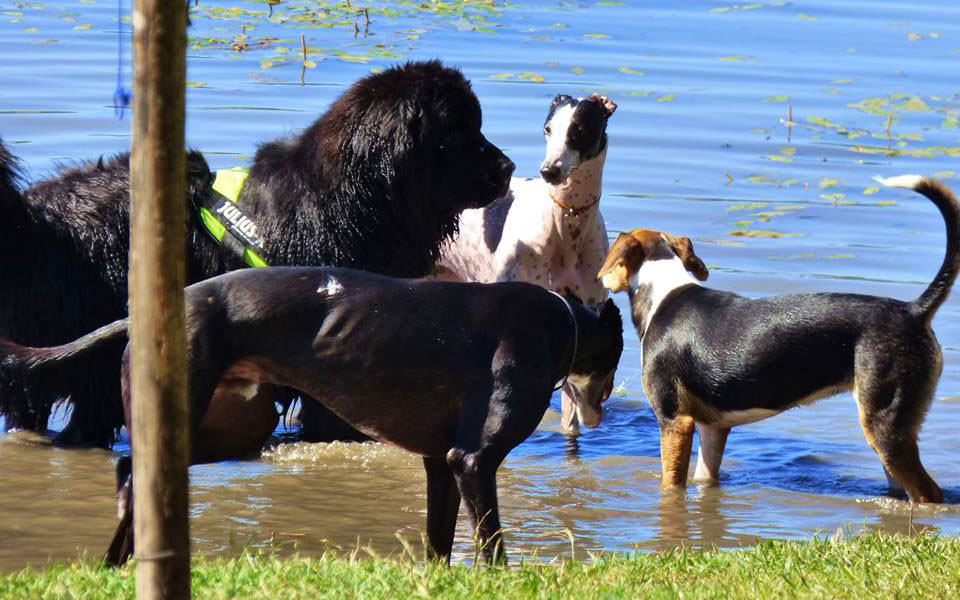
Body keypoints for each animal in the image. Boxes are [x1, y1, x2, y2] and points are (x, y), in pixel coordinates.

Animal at [0, 270, 628, 564]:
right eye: (621, 352)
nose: (601, 409)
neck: (561, 319)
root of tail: (143, 314)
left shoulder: (440, 465)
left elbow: (439, 541)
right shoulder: (473, 460)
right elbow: (492, 544)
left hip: (227, 429)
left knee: (128, 471)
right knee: (131, 474)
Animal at [600, 176, 952, 504]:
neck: (663, 290)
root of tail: (913, 310)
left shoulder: (675, 421)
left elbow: (671, 485)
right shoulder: (712, 427)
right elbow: (704, 479)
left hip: (884, 424)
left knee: (929, 493)